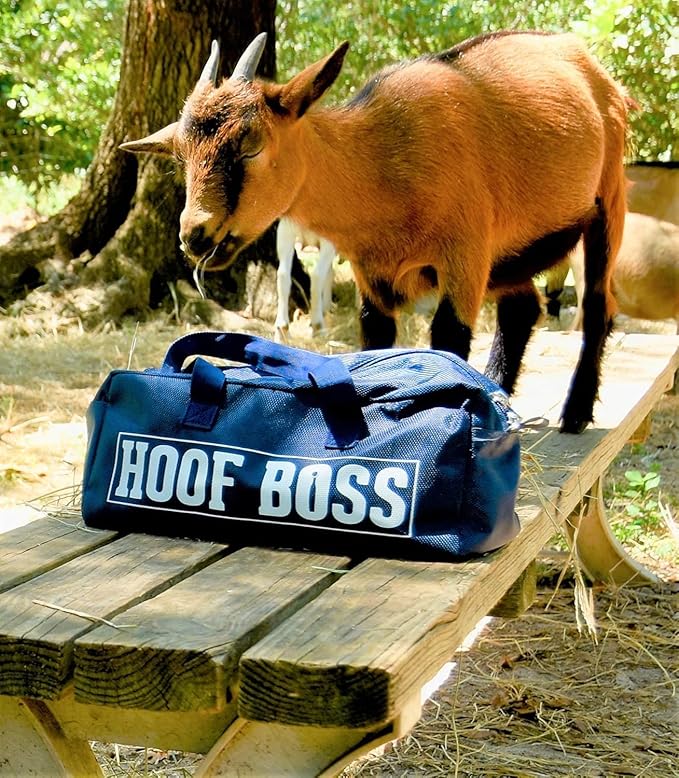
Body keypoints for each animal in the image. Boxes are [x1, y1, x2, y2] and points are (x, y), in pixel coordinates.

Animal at [121, 30, 630, 433]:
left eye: (251, 146)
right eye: (180, 155)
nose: (195, 234)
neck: (383, 159)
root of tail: (592, 67)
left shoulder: (464, 255)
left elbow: (449, 340)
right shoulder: (373, 274)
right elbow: (374, 341)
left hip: (608, 201)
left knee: (598, 304)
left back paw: (575, 412)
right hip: (511, 255)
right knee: (522, 308)